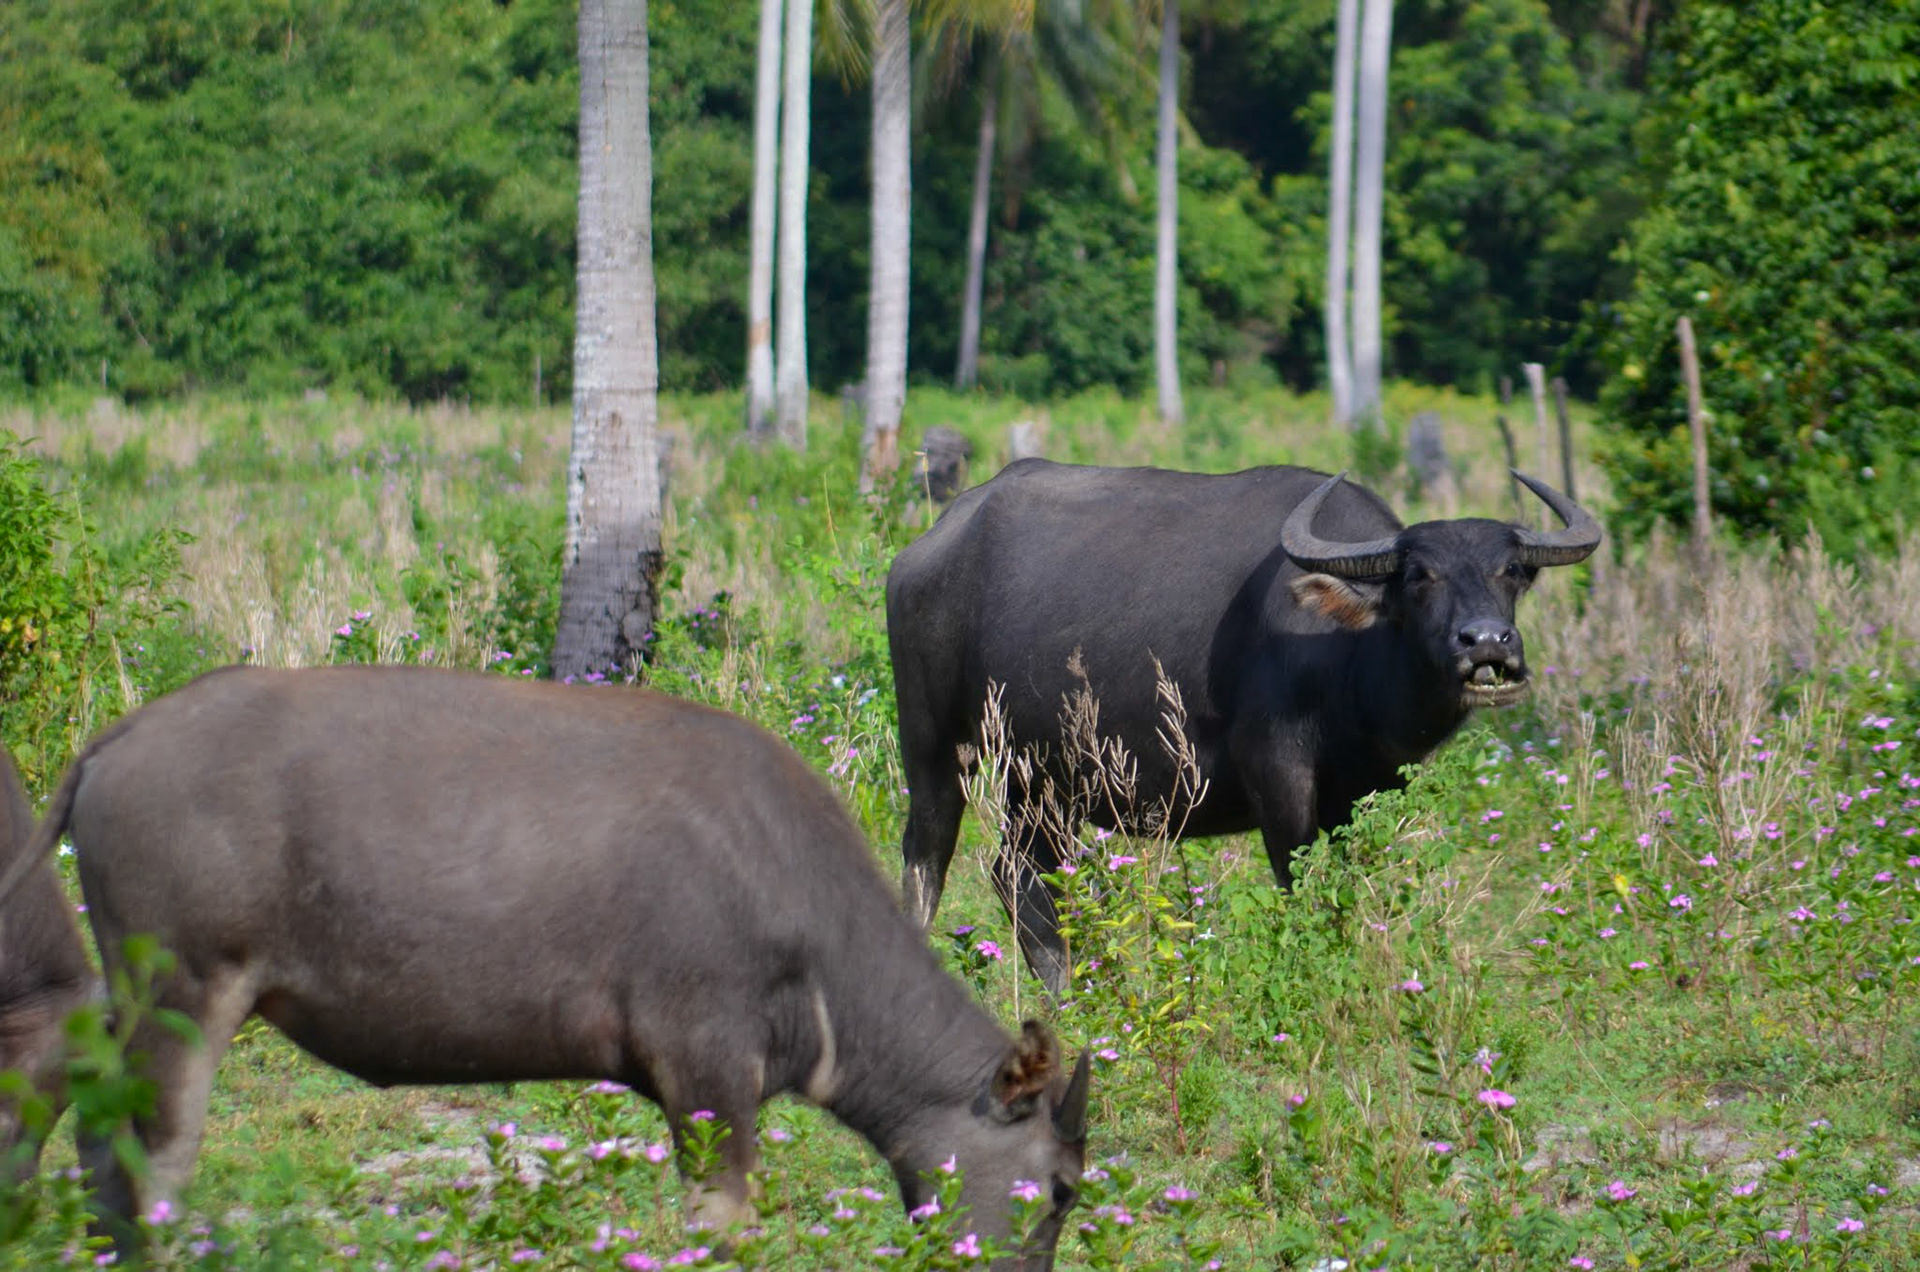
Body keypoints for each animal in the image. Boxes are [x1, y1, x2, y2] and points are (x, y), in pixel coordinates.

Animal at [4, 666, 1090, 1265]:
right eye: (1062, 1189)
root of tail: (123, 738)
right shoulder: (707, 1072)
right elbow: (721, 1223)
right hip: (183, 993)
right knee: (146, 1162)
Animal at [886, 460, 1600, 992]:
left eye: (1511, 570)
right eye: (1420, 575)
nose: (1487, 643)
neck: (1348, 656)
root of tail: (926, 547)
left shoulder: (1368, 791)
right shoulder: (1276, 774)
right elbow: (1299, 886)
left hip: (1041, 778)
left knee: (1021, 874)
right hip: (935, 748)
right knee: (929, 855)